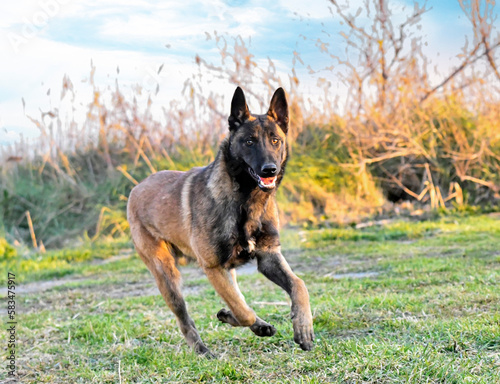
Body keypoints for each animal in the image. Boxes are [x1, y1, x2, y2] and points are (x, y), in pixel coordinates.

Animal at [127, 87, 314, 356]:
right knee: (185, 318)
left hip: (224, 270)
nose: (270, 169)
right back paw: (202, 350)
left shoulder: (268, 256)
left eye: (275, 140)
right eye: (249, 142)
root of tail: (137, 187)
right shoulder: (213, 267)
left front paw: (303, 326)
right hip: (167, 276)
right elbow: (242, 311)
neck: (246, 200)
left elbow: (298, 285)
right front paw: (239, 319)